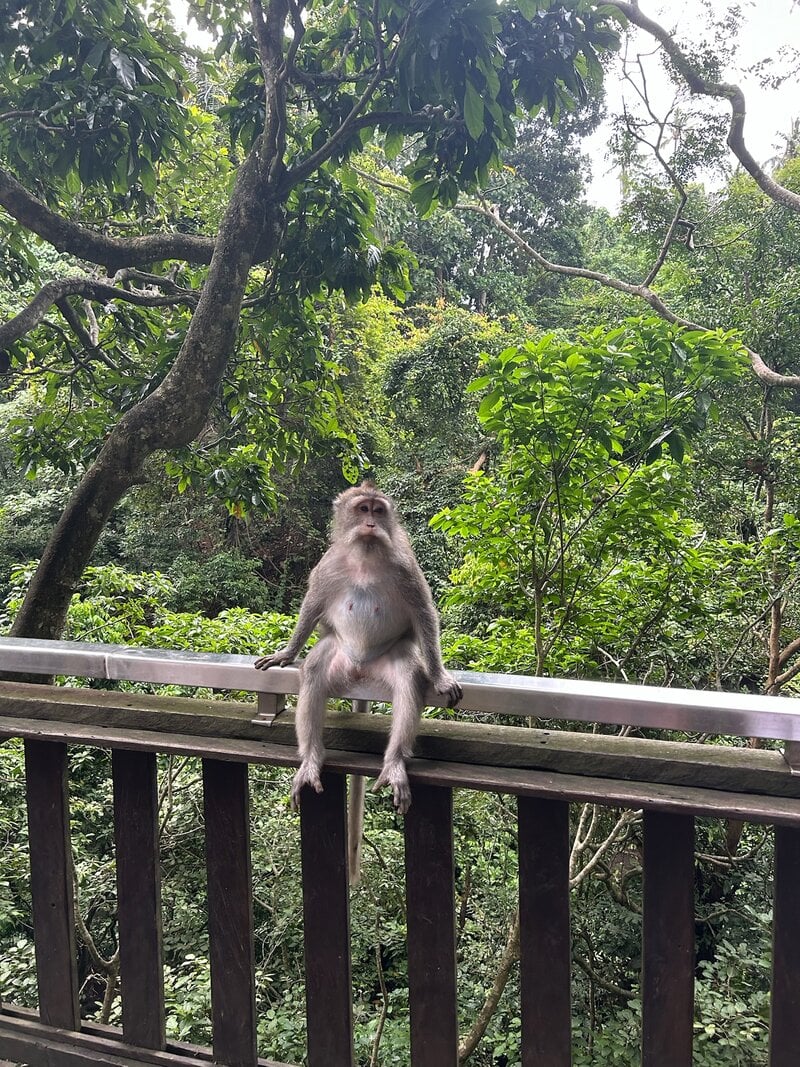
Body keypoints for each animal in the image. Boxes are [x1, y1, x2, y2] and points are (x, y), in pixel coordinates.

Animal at [254, 482, 462, 840]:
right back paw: (311, 759)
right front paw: (287, 652)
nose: (370, 524)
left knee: (408, 679)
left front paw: (439, 676)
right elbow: (312, 606)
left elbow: (423, 613)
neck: (366, 555)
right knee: (313, 672)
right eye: (362, 509)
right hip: (338, 653)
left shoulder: (405, 566)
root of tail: (360, 667)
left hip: (389, 657)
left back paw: (394, 763)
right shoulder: (328, 565)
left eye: (378, 510)